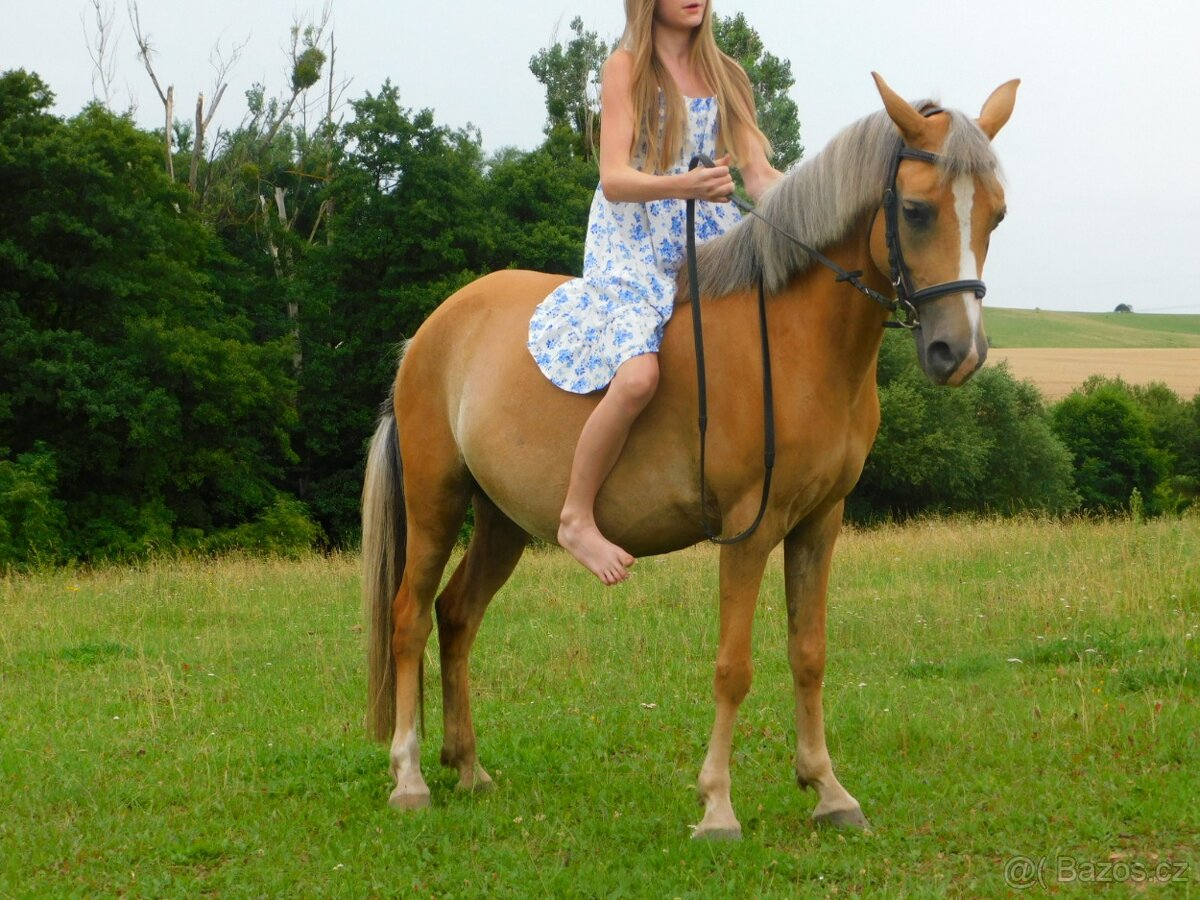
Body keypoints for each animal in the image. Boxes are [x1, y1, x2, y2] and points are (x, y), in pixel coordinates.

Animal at [361, 73, 1019, 838]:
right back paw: (409, 778)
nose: (957, 352)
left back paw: (467, 766)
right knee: (409, 618)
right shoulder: (749, 528)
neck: (796, 343)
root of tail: (428, 335)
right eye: (915, 210)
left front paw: (828, 791)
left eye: (997, 215)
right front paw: (718, 806)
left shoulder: (819, 524)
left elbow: (809, 654)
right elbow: (733, 666)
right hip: (435, 503)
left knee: (458, 615)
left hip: (501, 520)